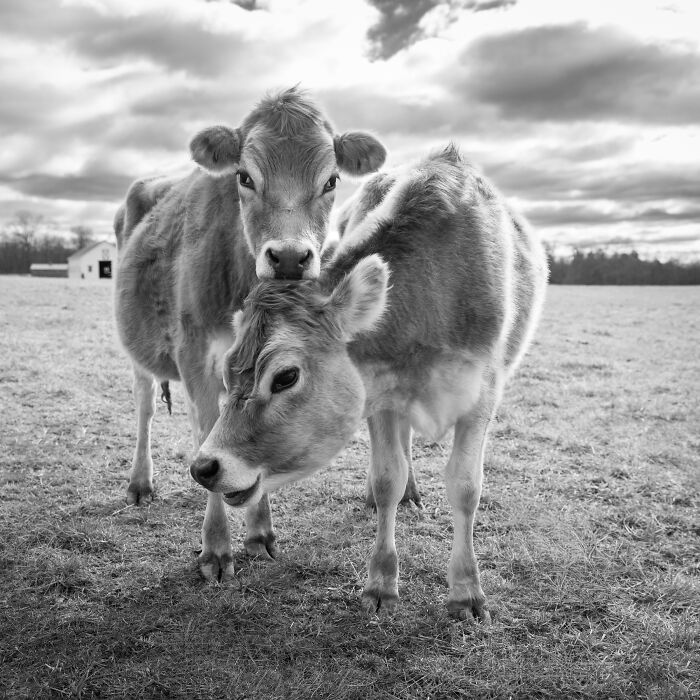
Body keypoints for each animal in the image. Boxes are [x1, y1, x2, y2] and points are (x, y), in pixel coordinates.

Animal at [114, 87, 388, 582]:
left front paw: (259, 532)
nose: (291, 258)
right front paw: (216, 549)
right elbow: (208, 436)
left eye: (332, 181)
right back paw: (140, 482)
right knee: (144, 406)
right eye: (244, 176)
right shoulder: (194, 352)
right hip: (138, 350)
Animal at [189, 145, 548, 620]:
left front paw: (467, 592)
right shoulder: (381, 397)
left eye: (285, 376)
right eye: (229, 369)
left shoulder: (481, 397)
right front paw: (381, 582)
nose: (203, 467)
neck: (435, 293)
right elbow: (386, 478)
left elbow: (466, 488)